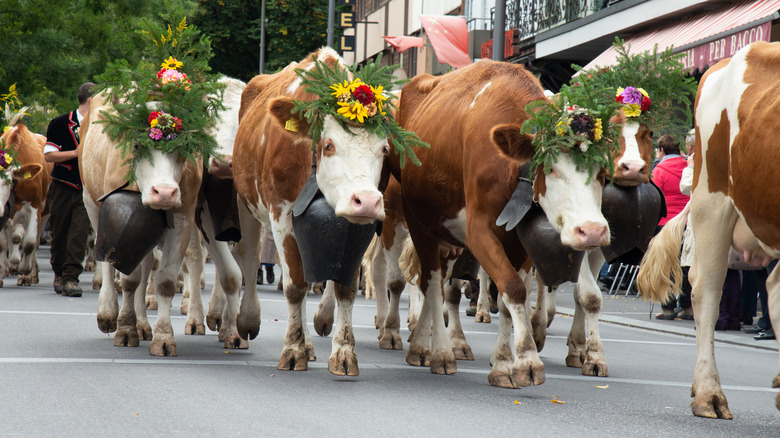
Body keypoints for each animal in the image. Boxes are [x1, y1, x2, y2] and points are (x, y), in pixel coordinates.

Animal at [0, 124, 49, 287]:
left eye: (7, 182)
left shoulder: (35, 207)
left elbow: (29, 243)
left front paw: (24, 271)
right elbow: (3, 243)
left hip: (45, 214)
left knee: (35, 240)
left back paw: (30, 274)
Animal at [232, 47, 400, 376]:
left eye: (384, 149)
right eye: (329, 145)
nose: (366, 200)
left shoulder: (358, 224)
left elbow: (345, 287)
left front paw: (344, 352)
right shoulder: (280, 213)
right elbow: (295, 285)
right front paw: (293, 349)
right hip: (246, 203)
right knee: (249, 256)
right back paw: (248, 322)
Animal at [388, 60, 612, 386]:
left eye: (602, 173)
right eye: (551, 168)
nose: (592, 231)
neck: (512, 171)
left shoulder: (518, 242)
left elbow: (509, 297)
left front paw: (505, 363)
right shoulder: (478, 231)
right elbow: (513, 289)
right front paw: (528, 361)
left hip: (448, 237)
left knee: (439, 283)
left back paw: (422, 343)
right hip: (419, 224)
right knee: (431, 284)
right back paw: (438, 352)